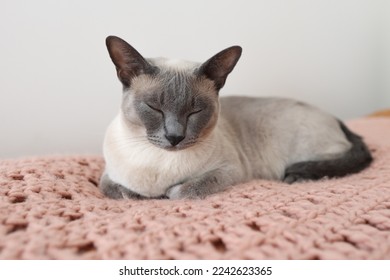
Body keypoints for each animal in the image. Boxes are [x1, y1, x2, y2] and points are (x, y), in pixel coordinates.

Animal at [100, 35, 372, 199]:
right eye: (154, 107)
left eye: (195, 111)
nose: (174, 137)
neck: (159, 163)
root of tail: (334, 117)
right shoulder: (108, 175)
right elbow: (114, 189)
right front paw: (140, 195)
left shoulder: (229, 170)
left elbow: (183, 191)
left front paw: (166, 193)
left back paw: (300, 177)